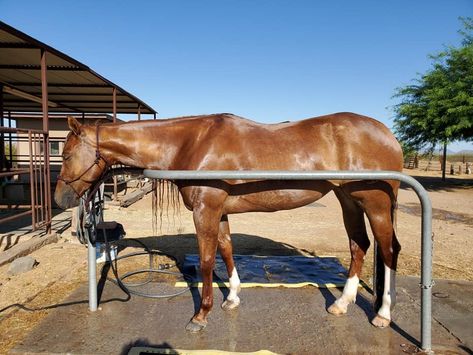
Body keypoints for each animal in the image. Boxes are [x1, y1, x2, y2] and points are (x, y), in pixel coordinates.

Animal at [55, 113, 402, 334]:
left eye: (67, 154)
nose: (60, 198)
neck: (191, 143)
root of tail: (388, 134)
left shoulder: (205, 210)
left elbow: (208, 261)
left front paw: (201, 315)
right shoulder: (219, 211)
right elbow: (226, 250)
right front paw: (232, 298)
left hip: (375, 204)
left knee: (388, 250)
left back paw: (383, 315)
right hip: (349, 200)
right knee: (359, 246)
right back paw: (342, 303)